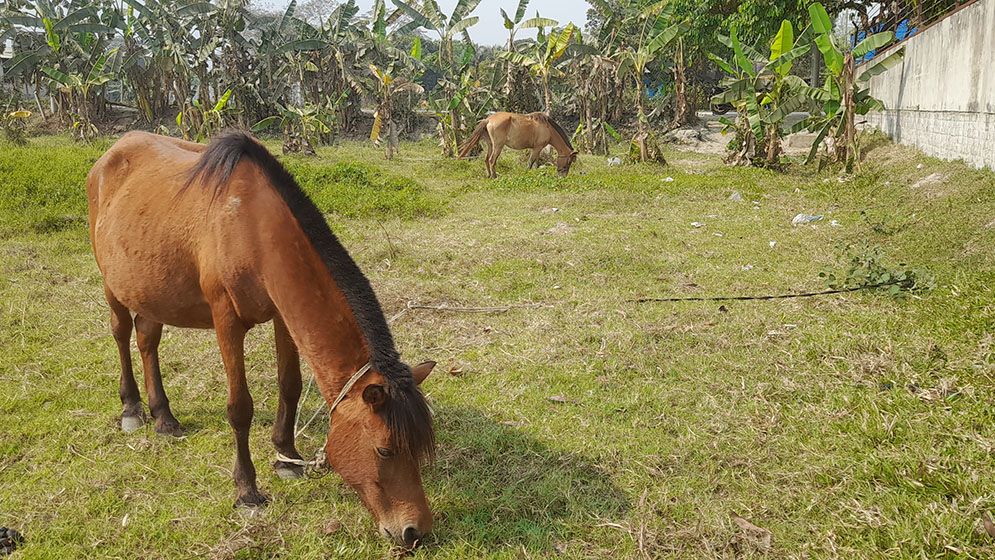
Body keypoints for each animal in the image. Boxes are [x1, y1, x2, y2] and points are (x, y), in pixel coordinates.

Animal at [88, 131, 436, 548]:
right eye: (384, 450)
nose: (415, 531)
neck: (253, 228)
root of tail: (111, 153)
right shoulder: (226, 320)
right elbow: (240, 407)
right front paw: (247, 491)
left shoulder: (283, 317)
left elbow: (290, 385)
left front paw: (286, 457)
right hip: (112, 284)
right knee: (122, 333)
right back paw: (132, 408)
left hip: (152, 288)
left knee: (147, 340)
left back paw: (164, 417)